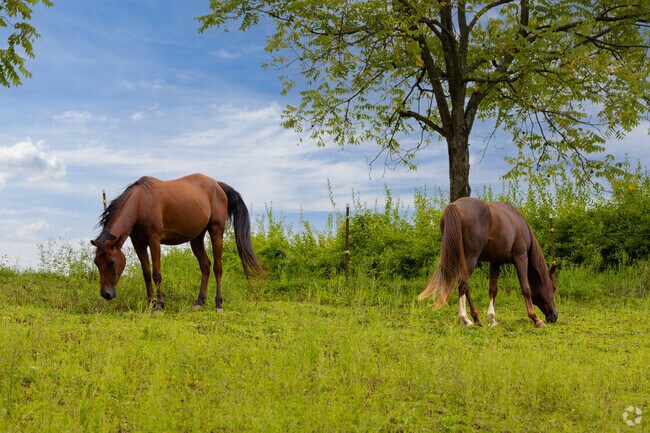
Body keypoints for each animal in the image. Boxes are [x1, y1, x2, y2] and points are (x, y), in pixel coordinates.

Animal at [91, 173, 264, 312]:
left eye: (112, 262)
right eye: (97, 263)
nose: (105, 294)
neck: (140, 203)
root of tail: (217, 184)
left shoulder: (154, 240)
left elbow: (156, 274)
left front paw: (159, 306)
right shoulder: (138, 243)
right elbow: (146, 273)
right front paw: (150, 305)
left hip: (216, 232)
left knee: (217, 268)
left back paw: (218, 304)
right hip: (196, 238)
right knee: (205, 266)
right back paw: (199, 302)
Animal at [418, 197, 558, 328]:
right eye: (553, 288)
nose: (554, 316)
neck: (519, 224)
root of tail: (455, 206)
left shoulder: (495, 261)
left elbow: (493, 289)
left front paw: (492, 319)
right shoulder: (521, 257)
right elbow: (526, 288)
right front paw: (536, 319)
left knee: (465, 286)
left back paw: (476, 318)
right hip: (471, 258)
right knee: (463, 283)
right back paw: (465, 319)